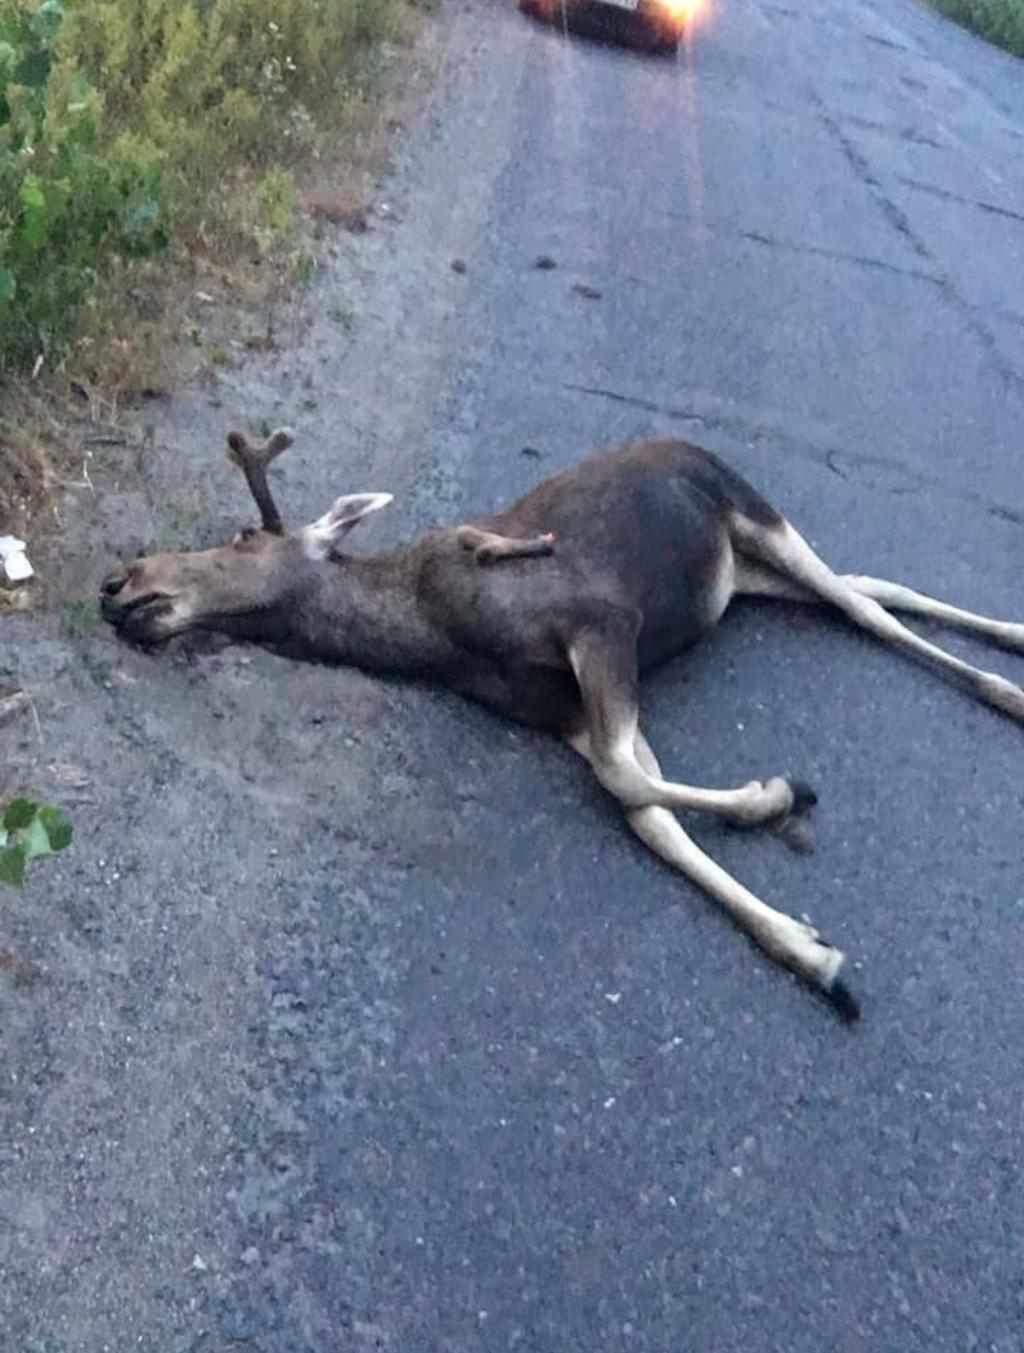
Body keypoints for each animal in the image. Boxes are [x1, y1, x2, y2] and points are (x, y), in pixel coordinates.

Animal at [100, 429, 1024, 1021]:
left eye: (239, 537)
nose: (119, 582)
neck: (437, 633)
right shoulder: (569, 710)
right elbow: (646, 810)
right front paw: (811, 948)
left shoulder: (603, 623)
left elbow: (626, 778)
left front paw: (780, 794)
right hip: (744, 575)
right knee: (869, 587)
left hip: (755, 509)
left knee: (868, 610)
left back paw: (1002, 684)